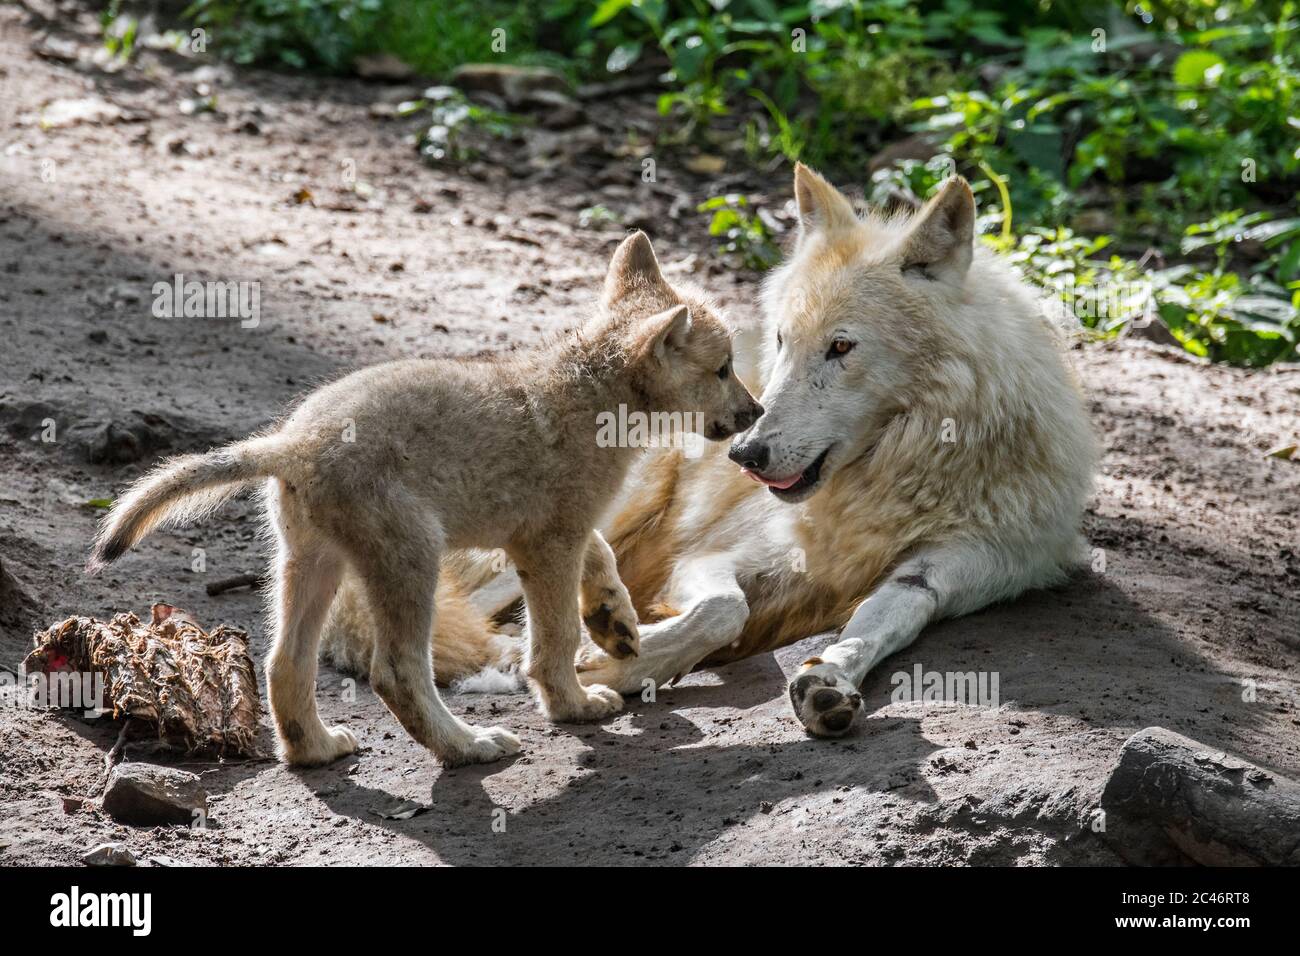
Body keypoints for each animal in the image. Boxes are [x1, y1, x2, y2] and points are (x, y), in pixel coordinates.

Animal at [322, 164, 1097, 738]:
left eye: (842, 347)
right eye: (782, 341)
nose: (747, 454)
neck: (894, 478)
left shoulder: (957, 569)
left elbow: (876, 623)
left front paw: (828, 680)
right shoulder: (714, 555)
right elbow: (727, 610)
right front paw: (614, 665)